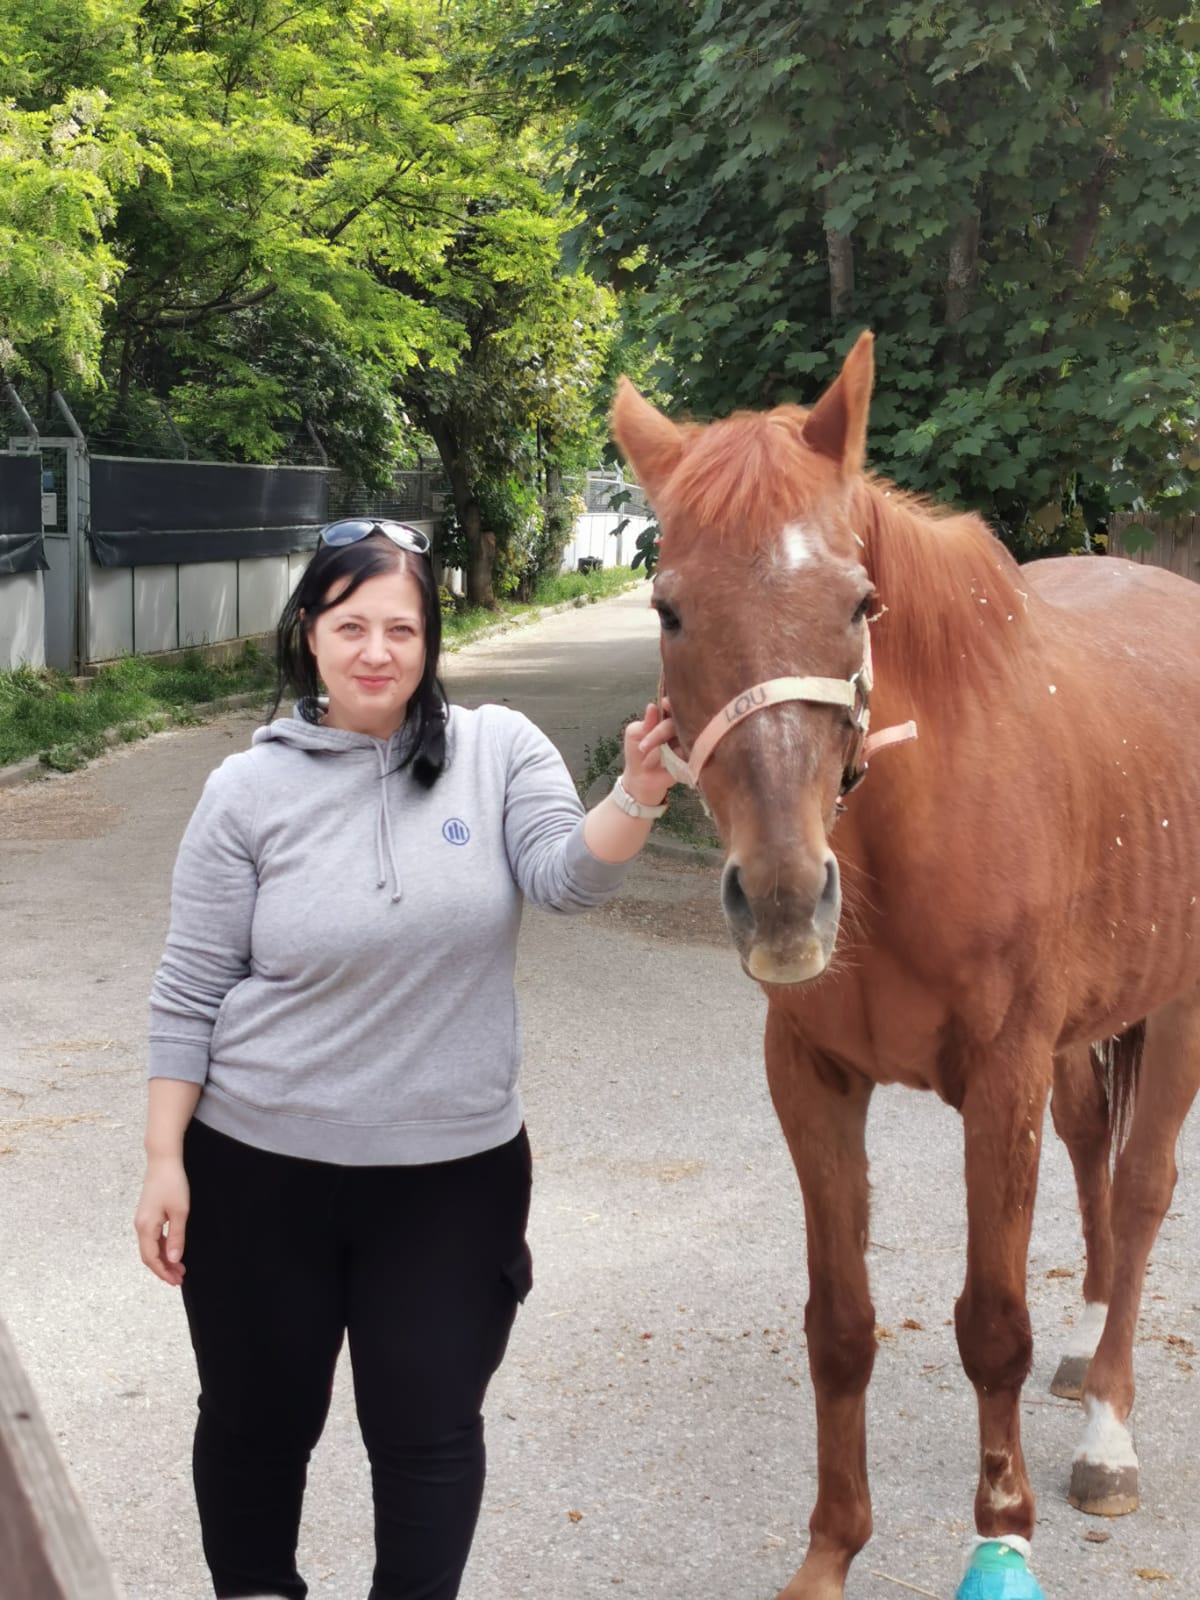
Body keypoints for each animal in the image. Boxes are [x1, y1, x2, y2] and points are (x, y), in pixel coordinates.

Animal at [611, 332, 1200, 1600]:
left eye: (861, 603)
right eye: (669, 609)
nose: (785, 897)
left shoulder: (1001, 1079)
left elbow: (991, 1324)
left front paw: (1003, 1531)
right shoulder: (813, 1078)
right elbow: (839, 1325)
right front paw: (831, 1550)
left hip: (1179, 1006)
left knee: (1140, 1189)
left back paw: (1109, 1428)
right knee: (1095, 1145)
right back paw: (1086, 1347)